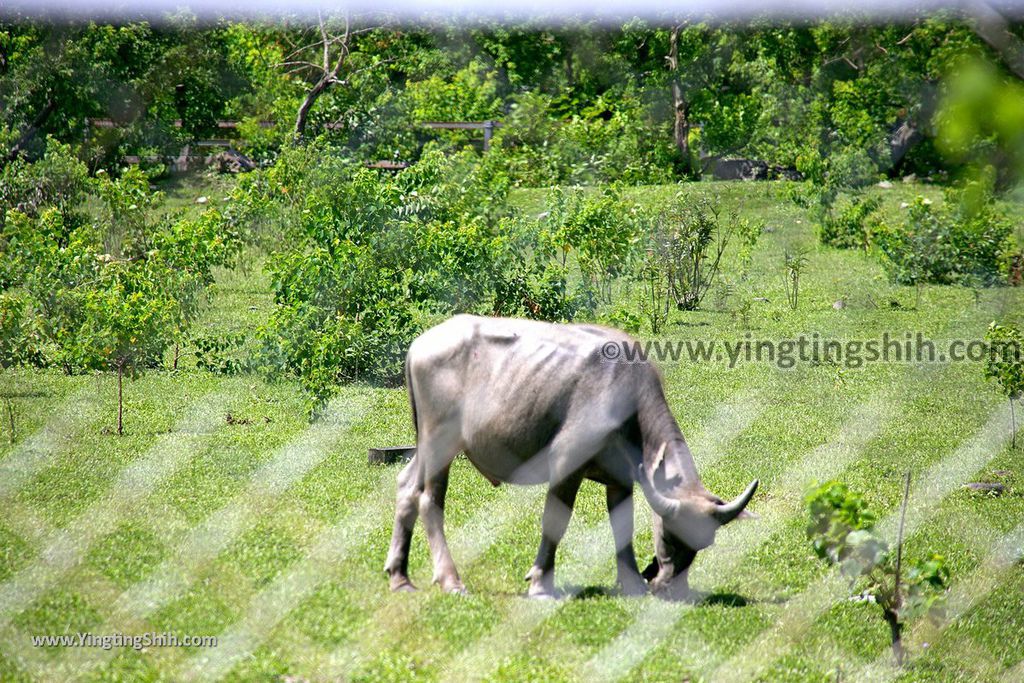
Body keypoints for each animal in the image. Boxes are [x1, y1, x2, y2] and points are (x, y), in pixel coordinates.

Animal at [387, 315, 757, 598]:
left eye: (701, 544)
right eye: (668, 536)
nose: (669, 586)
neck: (627, 400)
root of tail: (419, 344)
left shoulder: (621, 479)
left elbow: (622, 528)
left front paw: (632, 583)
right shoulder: (566, 466)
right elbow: (555, 523)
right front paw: (540, 583)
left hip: (425, 447)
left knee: (406, 487)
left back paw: (400, 577)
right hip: (441, 445)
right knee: (429, 501)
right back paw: (451, 580)